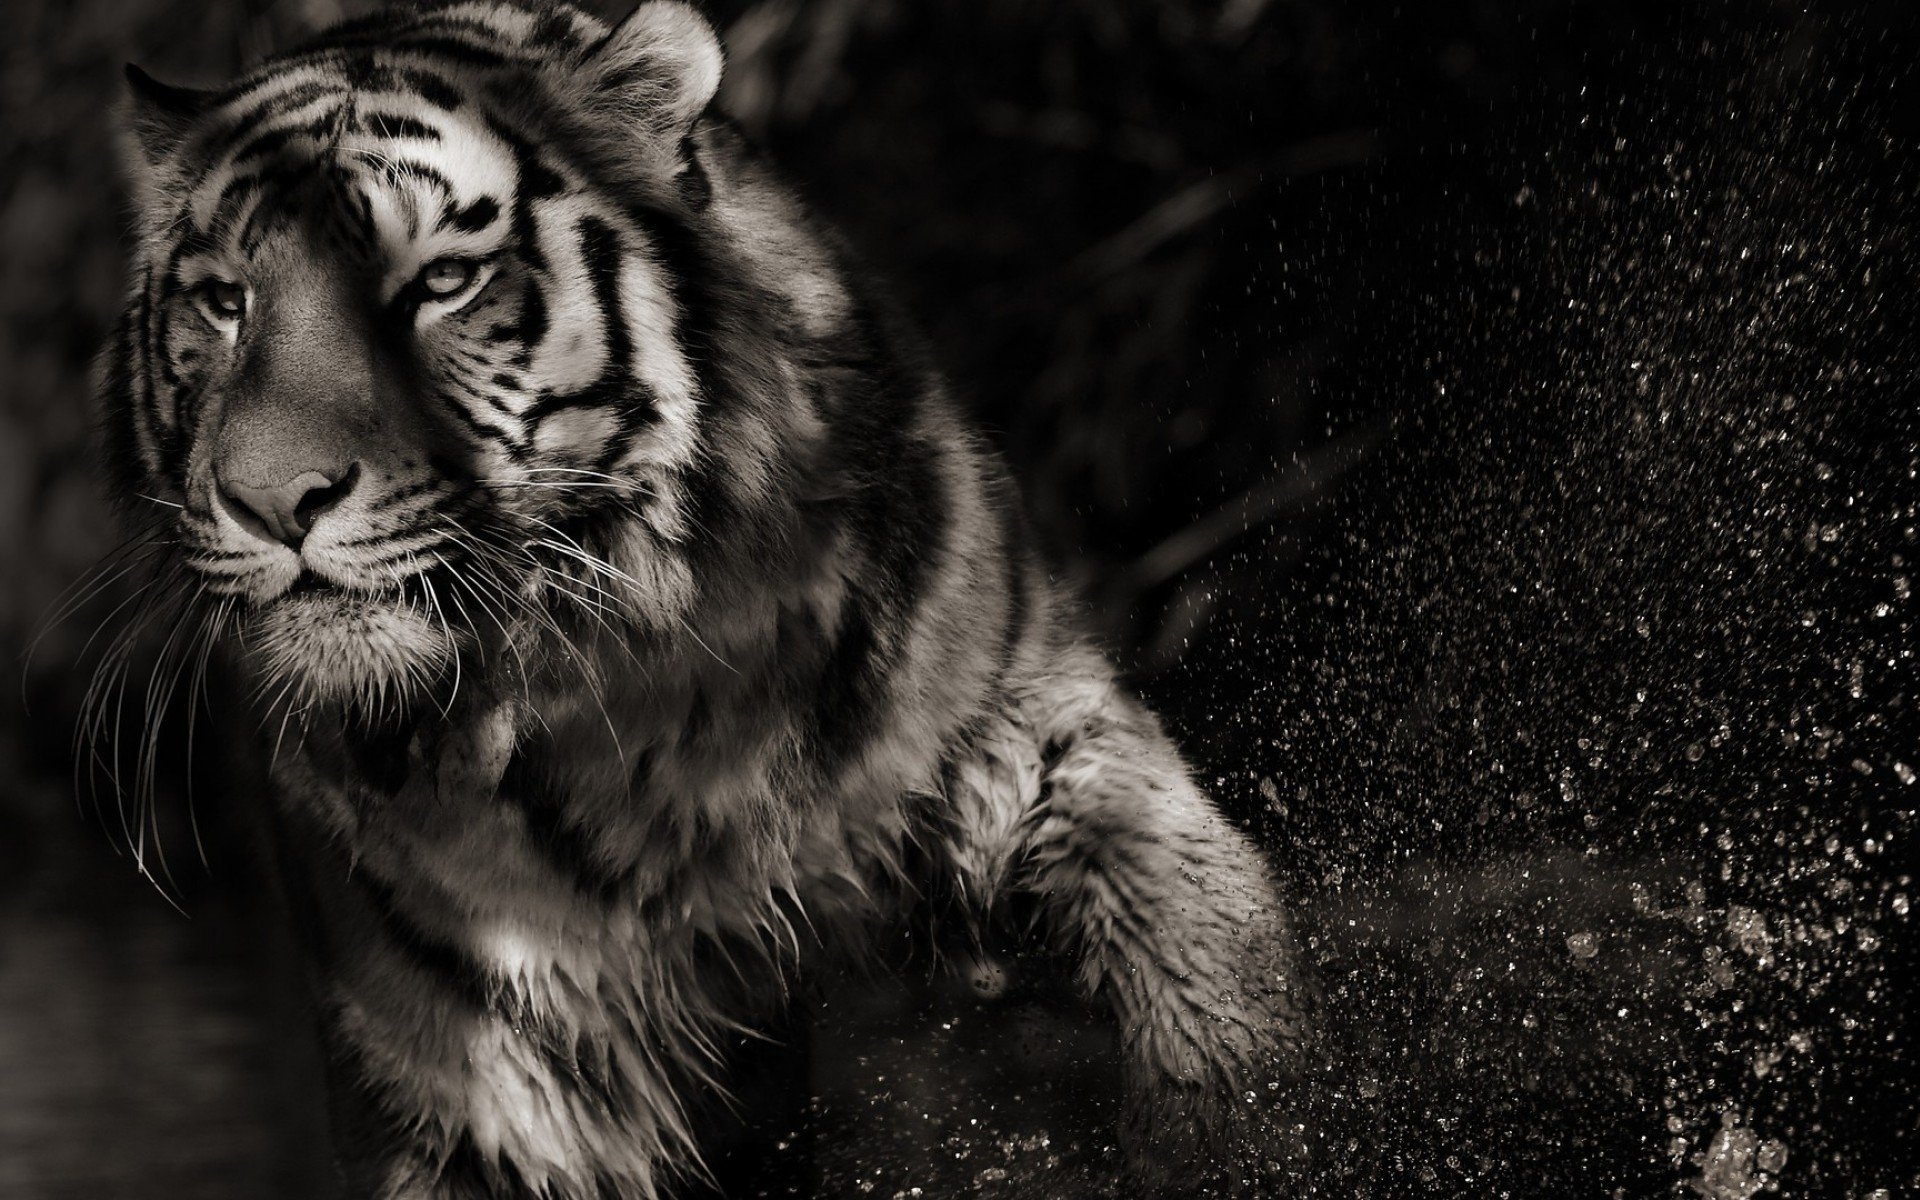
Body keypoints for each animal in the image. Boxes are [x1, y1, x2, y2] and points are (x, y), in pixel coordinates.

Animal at [98, 2, 1312, 1195]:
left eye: (442, 282)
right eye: (224, 303)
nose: (272, 500)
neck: (639, 702)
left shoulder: (1022, 723)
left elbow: (1189, 937)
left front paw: (1237, 1128)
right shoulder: (461, 1018)